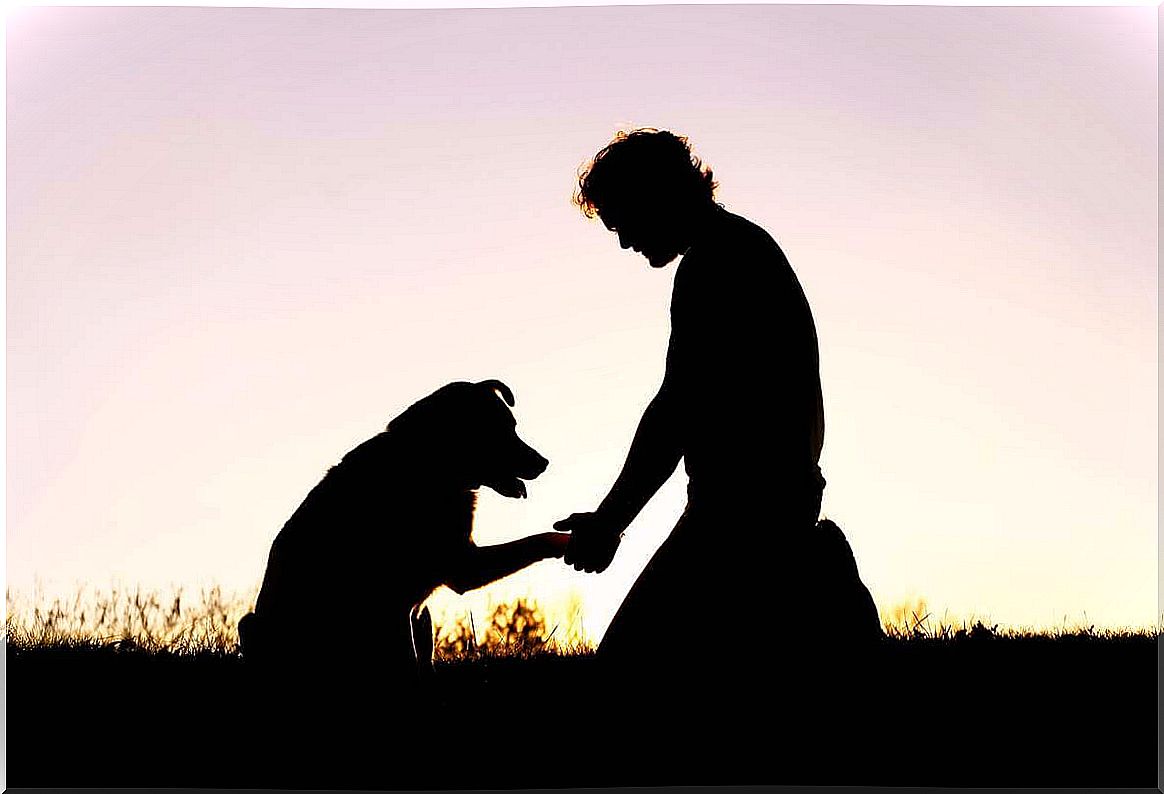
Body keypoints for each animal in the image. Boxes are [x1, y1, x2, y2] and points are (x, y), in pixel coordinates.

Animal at [236, 379, 563, 684]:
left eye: (513, 427)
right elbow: (538, 540)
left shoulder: (435, 591)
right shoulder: (457, 570)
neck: (428, 465)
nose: (544, 463)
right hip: (253, 626)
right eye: (499, 431)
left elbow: (423, 656)